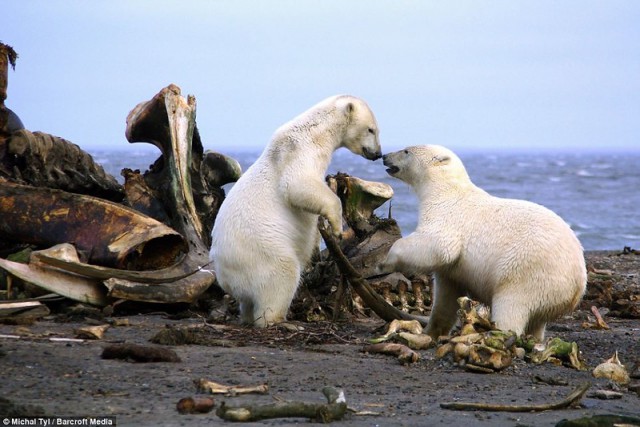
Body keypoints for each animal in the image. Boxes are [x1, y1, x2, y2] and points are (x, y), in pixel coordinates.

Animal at [210, 94, 380, 328]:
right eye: (371, 129)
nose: (378, 153)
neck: (317, 131)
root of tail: (225, 278)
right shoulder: (299, 152)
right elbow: (297, 185)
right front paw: (337, 228)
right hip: (261, 253)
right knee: (282, 274)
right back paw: (281, 320)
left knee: (248, 300)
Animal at [380, 145, 584, 342]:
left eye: (406, 150)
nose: (385, 156)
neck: (446, 190)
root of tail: (578, 284)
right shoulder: (453, 273)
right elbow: (447, 295)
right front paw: (430, 332)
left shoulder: (448, 215)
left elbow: (439, 245)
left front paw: (385, 261)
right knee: (537, 322)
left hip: (528, 273)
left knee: (512, 306)